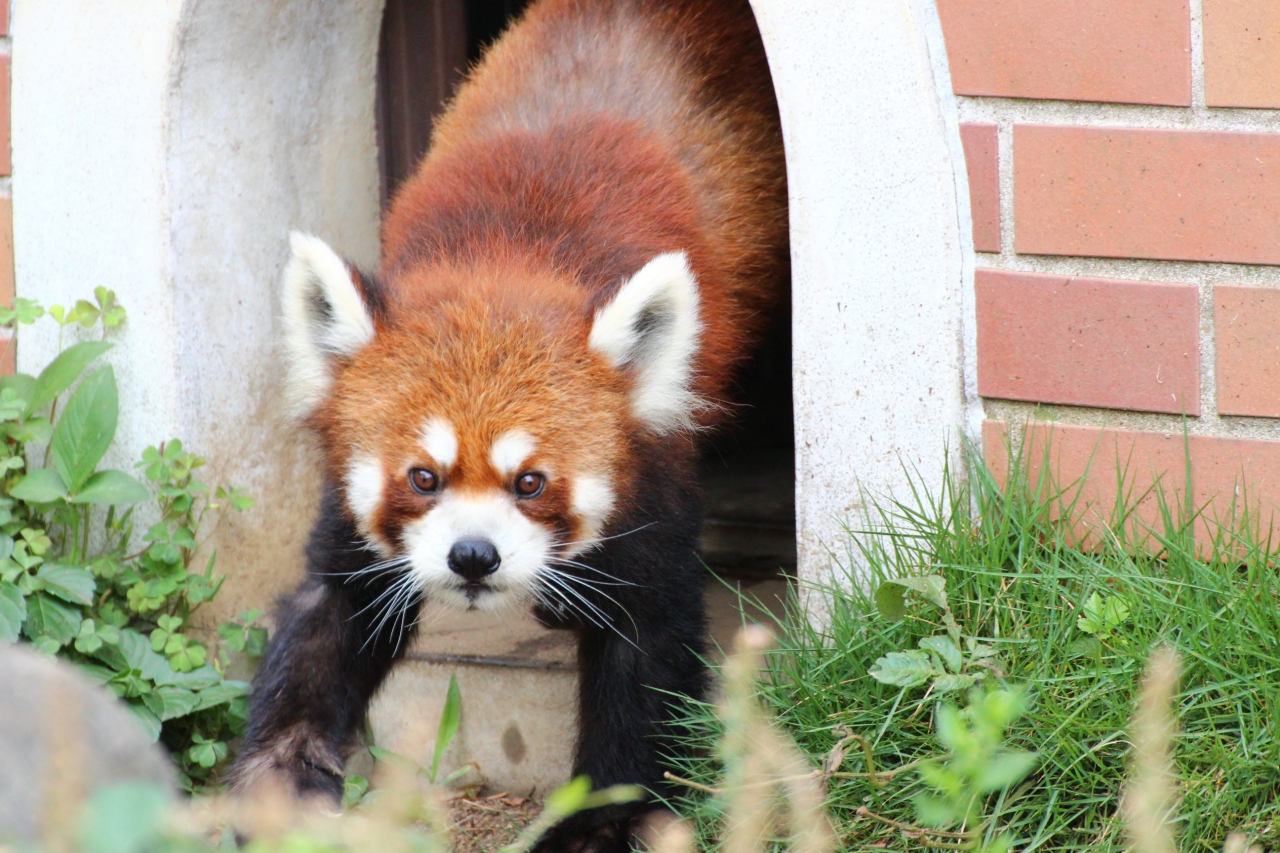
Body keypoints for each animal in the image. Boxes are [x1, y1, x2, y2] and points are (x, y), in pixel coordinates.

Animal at [234, 1, 783, 845]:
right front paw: (280, 784)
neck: (507, 256)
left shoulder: (654, 479)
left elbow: (647, 650)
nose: (472, 555)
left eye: (530, 482)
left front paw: (596, 823)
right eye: (423, 476)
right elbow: (326, 616)